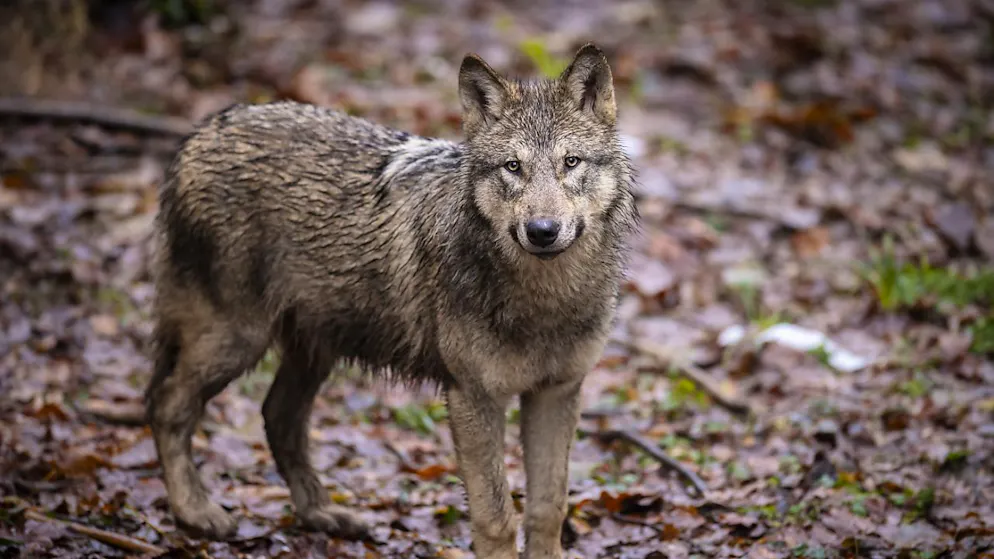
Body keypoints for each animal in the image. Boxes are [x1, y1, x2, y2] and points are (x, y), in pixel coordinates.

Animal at [144, 43, 637, 559]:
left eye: (571, 162)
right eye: (513, 167)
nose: (542, 231)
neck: (545, 302)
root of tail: (199, 133)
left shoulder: (556, 392)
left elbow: (548, 509)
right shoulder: (473, 397)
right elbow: (497, 519)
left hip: (314, 349)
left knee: (277, 418)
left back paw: (323, 514)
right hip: (236, 341)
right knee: (166, 406)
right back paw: (196, 512)